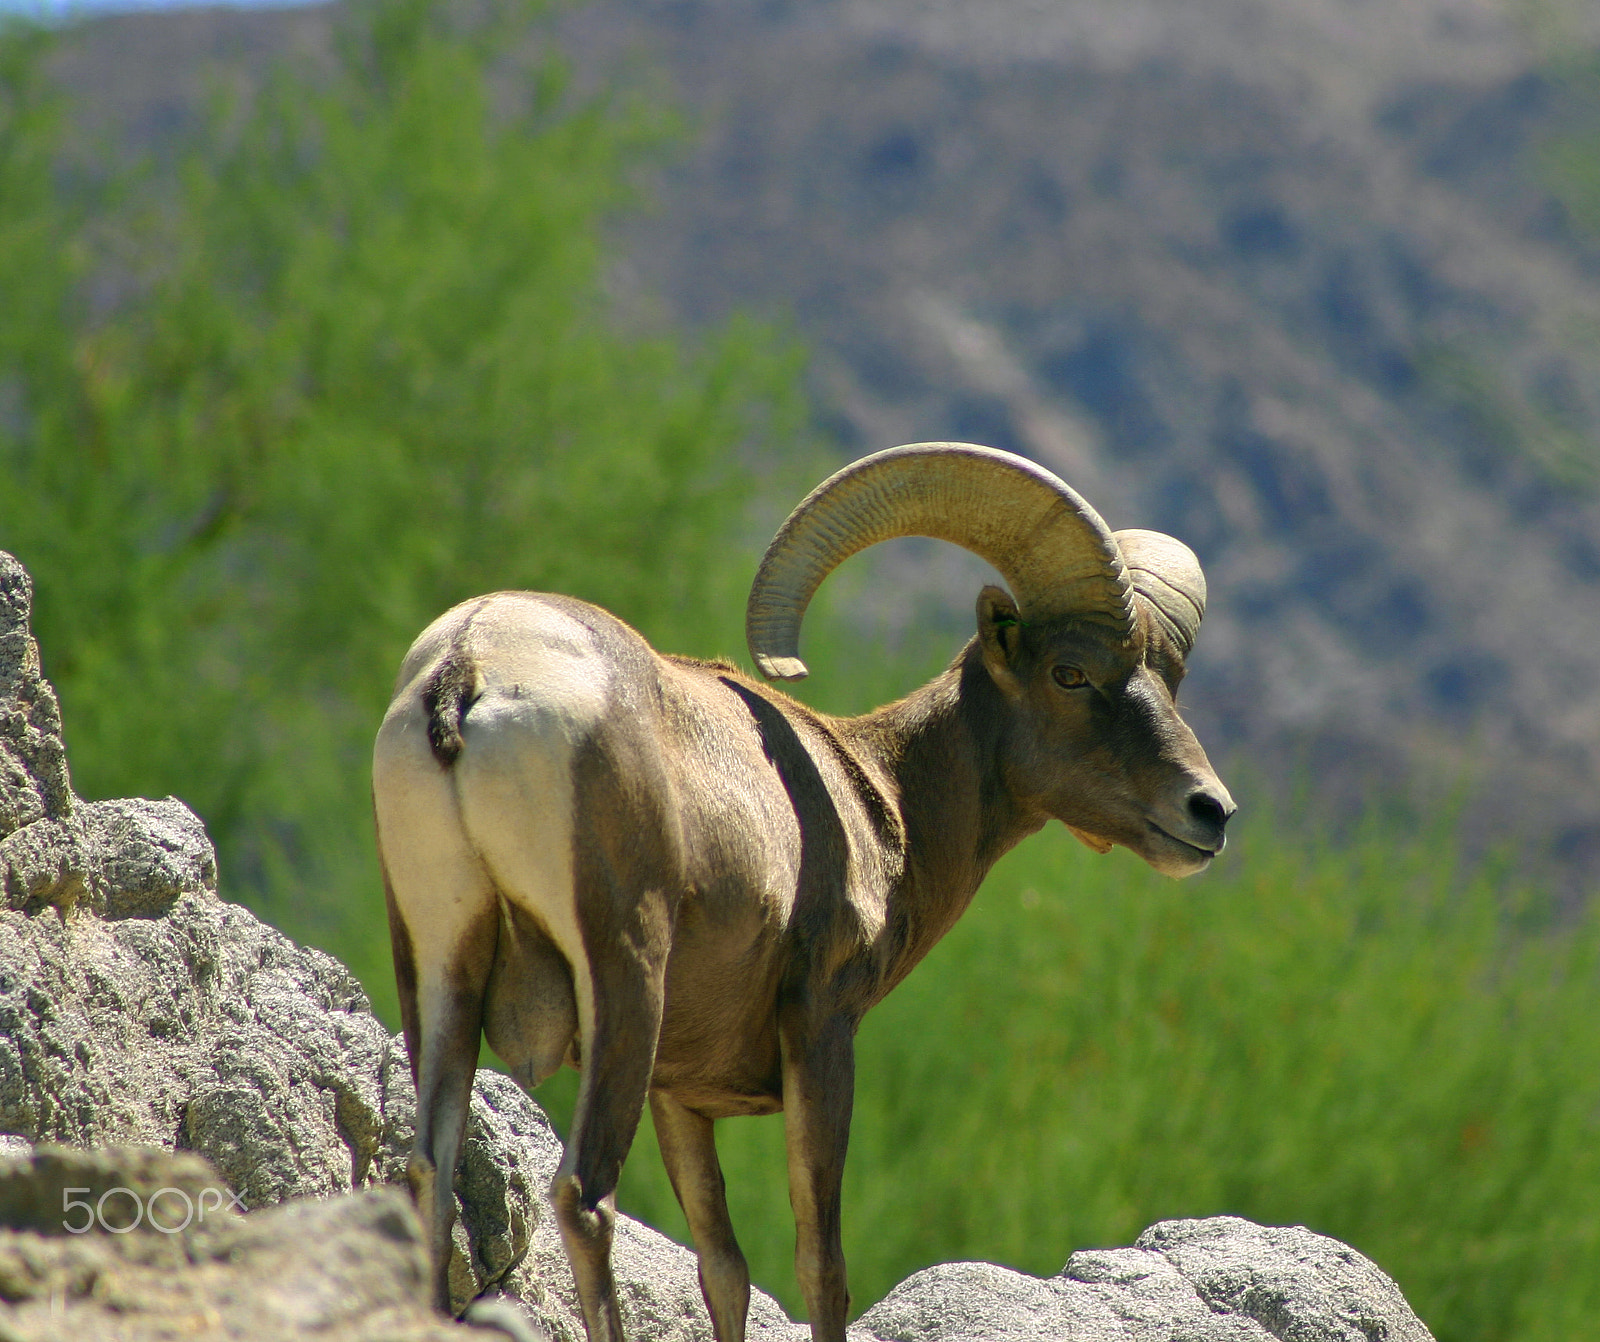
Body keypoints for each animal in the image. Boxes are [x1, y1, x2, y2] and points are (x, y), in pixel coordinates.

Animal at [374, 444, 1235, 1342]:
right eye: (1071, 673)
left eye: (1168, 680)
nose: (1208, 812)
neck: (883, 796)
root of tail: (471, 667)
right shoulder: (821, 1027)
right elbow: (823, 1263)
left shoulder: (681, 1094)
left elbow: (724, 1267)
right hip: (623, 980)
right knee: (585, 1198)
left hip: (443, 965)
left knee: (431, 1171)